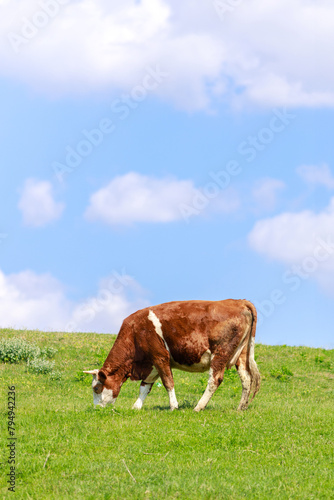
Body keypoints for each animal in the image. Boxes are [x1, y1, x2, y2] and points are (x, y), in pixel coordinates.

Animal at [84, 298, 260, 412]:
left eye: (97, 388)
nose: (97, 408)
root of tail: (237, 301)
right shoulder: (152, 363)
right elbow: (145, 387)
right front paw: (136, 407)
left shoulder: (160, 356)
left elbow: (168, 382)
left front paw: (173, 406)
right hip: (242, 354)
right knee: (246, 379)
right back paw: (241, 407)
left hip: (221, 352)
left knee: (215, 379)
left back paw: (198, 407)